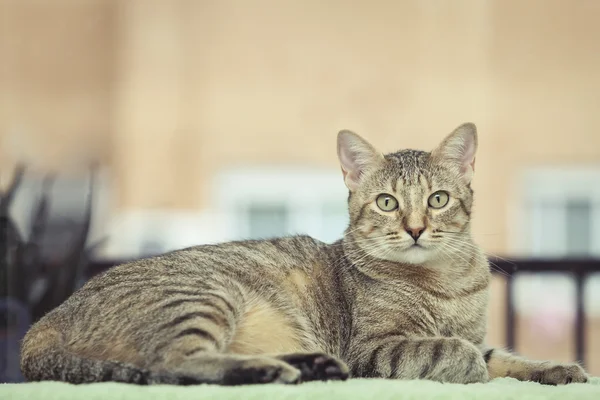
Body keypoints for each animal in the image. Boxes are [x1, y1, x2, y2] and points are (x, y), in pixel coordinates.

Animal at [21, 122, 588, 384]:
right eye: (387, 202)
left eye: (438, 199)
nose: (415, 228)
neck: (441, 281)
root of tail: (47, 319)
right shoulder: (375, 349)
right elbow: (449, 351)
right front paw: (465, 363)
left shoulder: (480, 337)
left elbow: (507, 358)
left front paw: (558, 369)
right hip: (204, 295)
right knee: (173, 364)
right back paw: (269, 372)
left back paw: (309, 364)